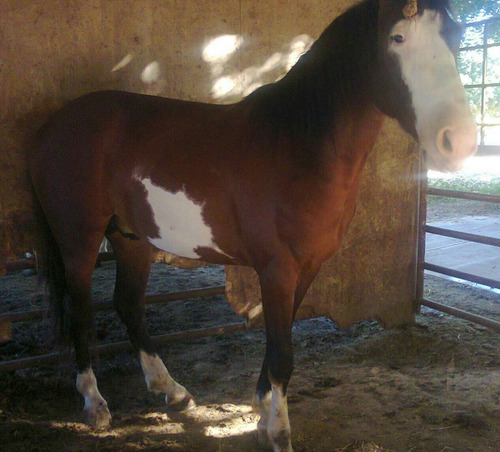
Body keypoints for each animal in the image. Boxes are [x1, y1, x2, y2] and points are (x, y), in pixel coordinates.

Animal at [28, 0, 476, 452]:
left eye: (456, 37)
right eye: (397, 37)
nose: (458, 142)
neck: (298, 147)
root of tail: (54, 125)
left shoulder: (307, 268)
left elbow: (279, 343)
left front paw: (261, 413)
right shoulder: (276, 269)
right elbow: (281, 355)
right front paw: (278, 433)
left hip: (131, 237)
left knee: (128, 305)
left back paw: (172, 390)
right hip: (79, 240)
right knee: (81, 310)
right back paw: (95, 403)